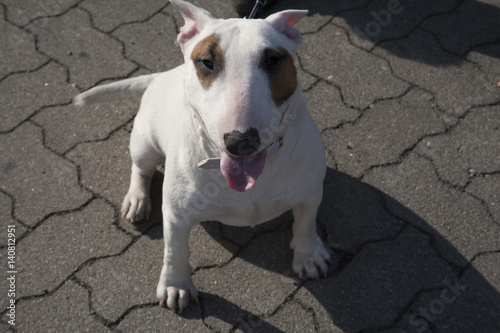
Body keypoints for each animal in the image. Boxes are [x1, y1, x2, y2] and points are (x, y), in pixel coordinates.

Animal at [74, 0, 330, 312]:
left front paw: (308, 255)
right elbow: (175, 250)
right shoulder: (176, 214)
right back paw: (137, 199)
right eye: (207, 62)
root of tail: (161, 76)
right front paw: (176, 285)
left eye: (272, 60)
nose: (241, 142)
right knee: (141, 169)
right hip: (145, 143)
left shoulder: (311, 191)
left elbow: (305, 222)